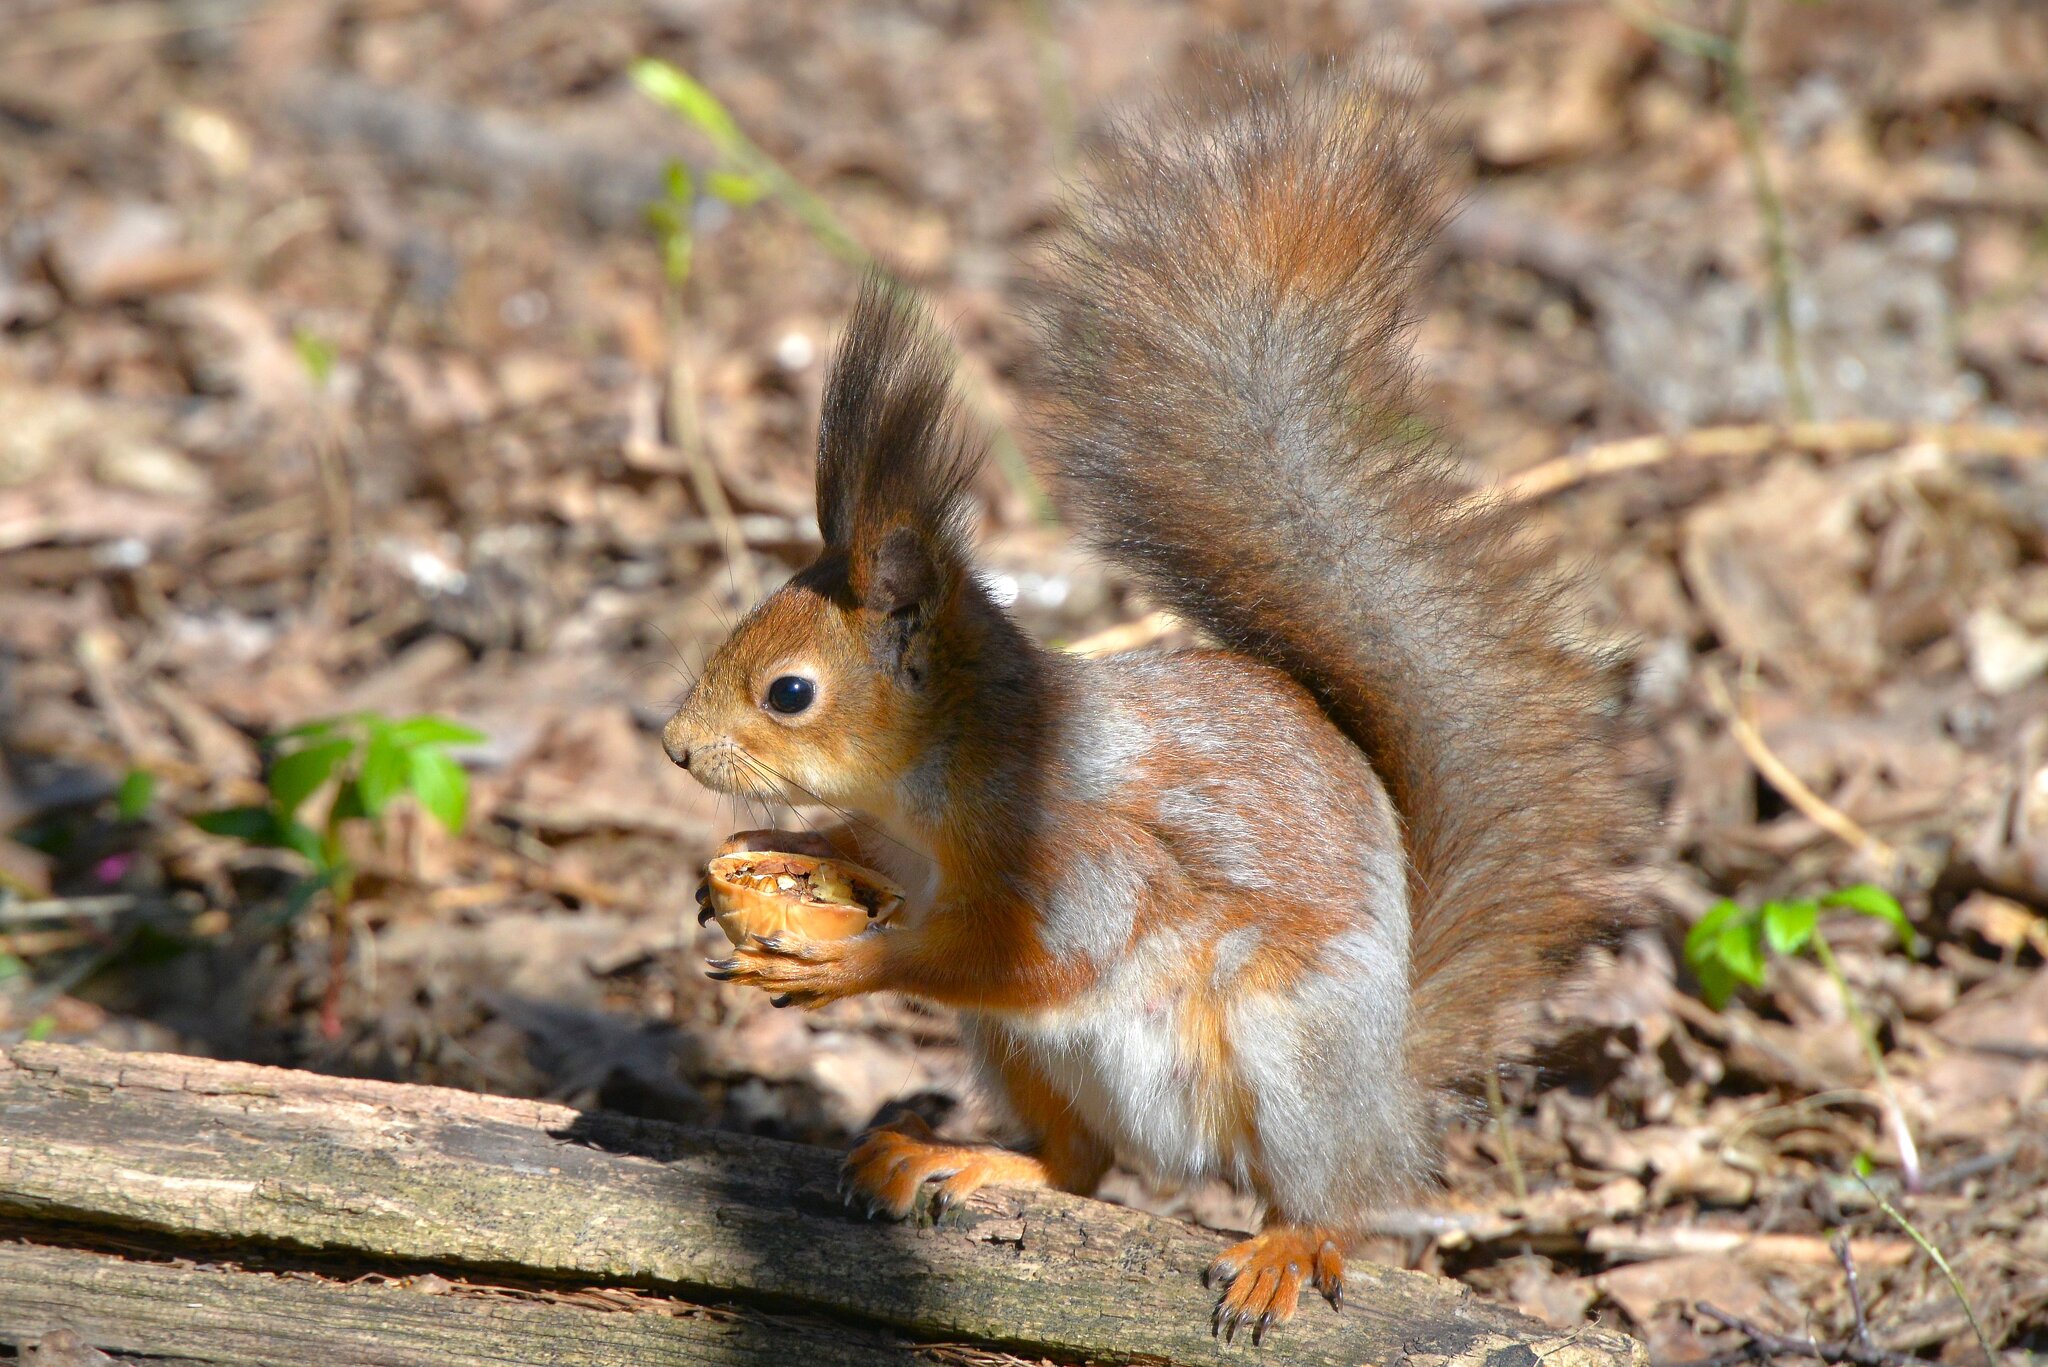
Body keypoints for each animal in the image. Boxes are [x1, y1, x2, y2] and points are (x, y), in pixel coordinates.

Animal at [661, 65, 1645, 1342]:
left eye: (789, 692)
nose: (675, 748)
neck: (942, 781)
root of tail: (1385, 1094)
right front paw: (776, 853)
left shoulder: (1080, 856)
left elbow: (1036, 955)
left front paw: (838, 960)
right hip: (1031, 1059)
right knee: (1079, 1163)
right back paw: (957, 1156)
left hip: (1286, 1050)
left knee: (1324, 1195)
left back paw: (1287, 1243)